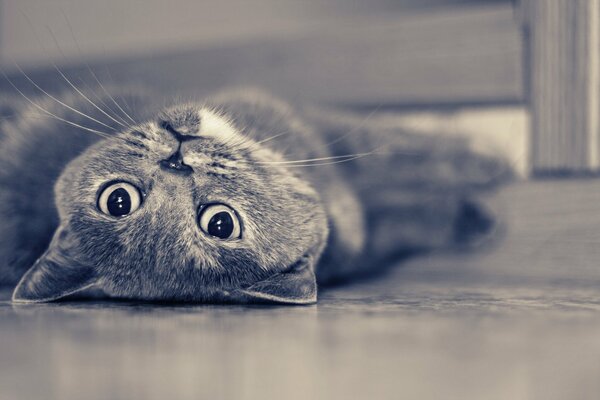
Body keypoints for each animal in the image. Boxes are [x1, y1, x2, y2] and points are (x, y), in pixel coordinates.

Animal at [0, 86, 508, 304]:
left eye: (117, 200)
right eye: (221, 223)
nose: (177, 160)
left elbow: (406, 203)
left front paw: (475, 213)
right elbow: (405, 147)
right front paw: (495, 162)